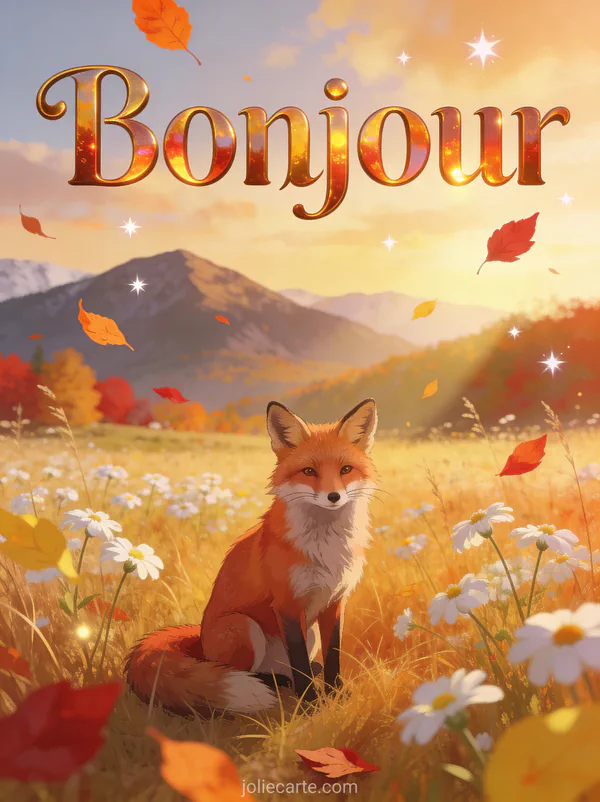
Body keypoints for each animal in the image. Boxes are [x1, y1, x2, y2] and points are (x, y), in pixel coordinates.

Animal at [125, 398, 378, 715]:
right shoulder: (287, 604)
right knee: (239, 671)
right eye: (309, 471)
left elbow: (334, 656)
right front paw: (309, 704)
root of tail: (200, 640)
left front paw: (336, 694)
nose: (334, 497)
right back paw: (273, 684)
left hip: (308, 634)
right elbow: (300, 664)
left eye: (346, 469)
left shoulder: (335, 601)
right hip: (243, 627)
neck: (326, 548)